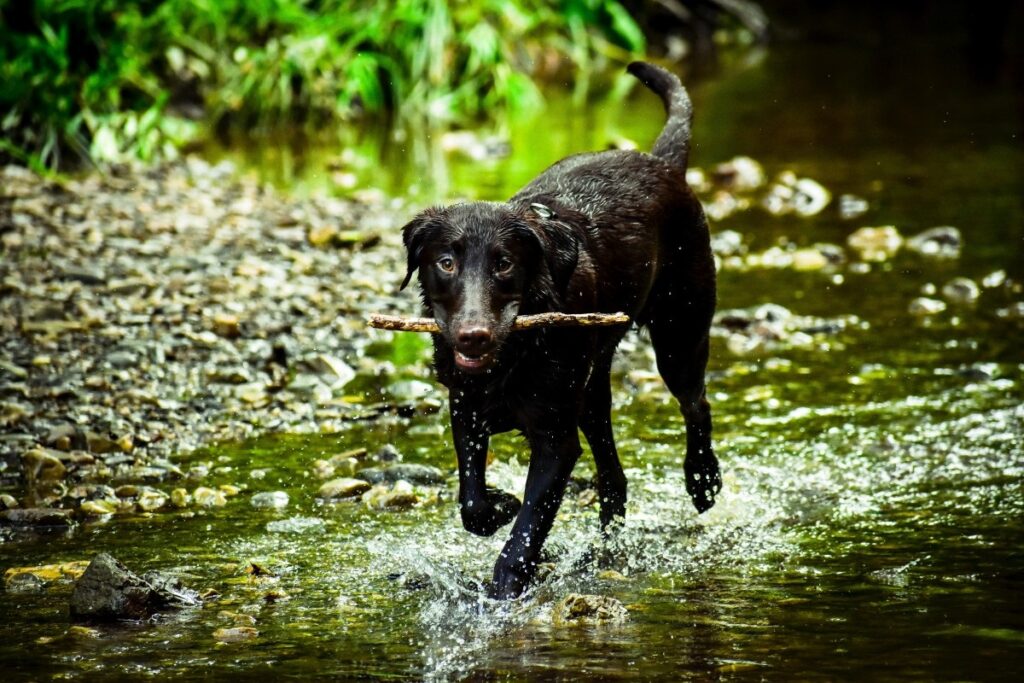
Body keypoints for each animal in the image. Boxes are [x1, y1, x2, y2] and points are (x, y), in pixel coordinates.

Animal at [399, 63, 720, 598]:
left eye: (504, 264)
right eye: (445, 262)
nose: (472, 336)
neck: (514, 355)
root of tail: (662, 163)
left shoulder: (554, 439)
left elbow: (530, 523)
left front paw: (508, 581)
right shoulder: (466, 409)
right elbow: (472, 503)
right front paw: (500, 504)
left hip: (679, 335)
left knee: (697, 405)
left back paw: (703, 481)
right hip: (592, 391)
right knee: (614, 476)